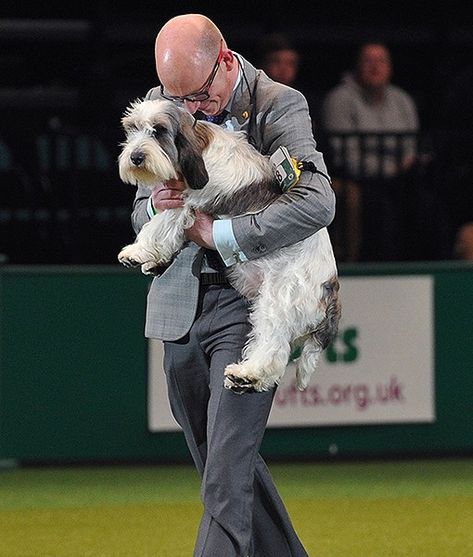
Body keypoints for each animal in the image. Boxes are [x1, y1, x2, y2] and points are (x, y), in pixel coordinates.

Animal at [117, 96, 340, 390]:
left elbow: (160, 223)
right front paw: (154, 260)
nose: (136, 157)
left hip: (277, 301)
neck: (200, 147)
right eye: (132, 129)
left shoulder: (186, 202)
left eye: (159, 131)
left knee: (273, 348)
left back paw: (247, 375)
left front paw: (137, 252)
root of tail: (330, 287)